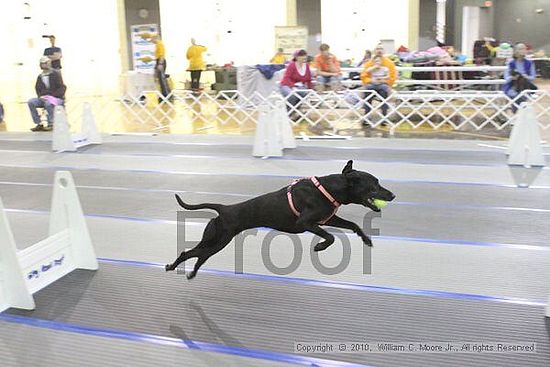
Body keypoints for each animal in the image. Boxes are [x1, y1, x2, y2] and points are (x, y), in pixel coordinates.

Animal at [166, 160, 394, 278]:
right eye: (374, 185)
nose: (392, 195)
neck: (328, 189)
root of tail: (223, 209)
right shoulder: (307, 223)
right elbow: (330, 237)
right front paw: (319, 247)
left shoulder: (327, 218)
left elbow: (352, 225)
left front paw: (367, 240)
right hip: (219, 240)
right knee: (192, 253)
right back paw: (177, 269)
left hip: (213, 240)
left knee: (195, 254)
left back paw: (183, 271)